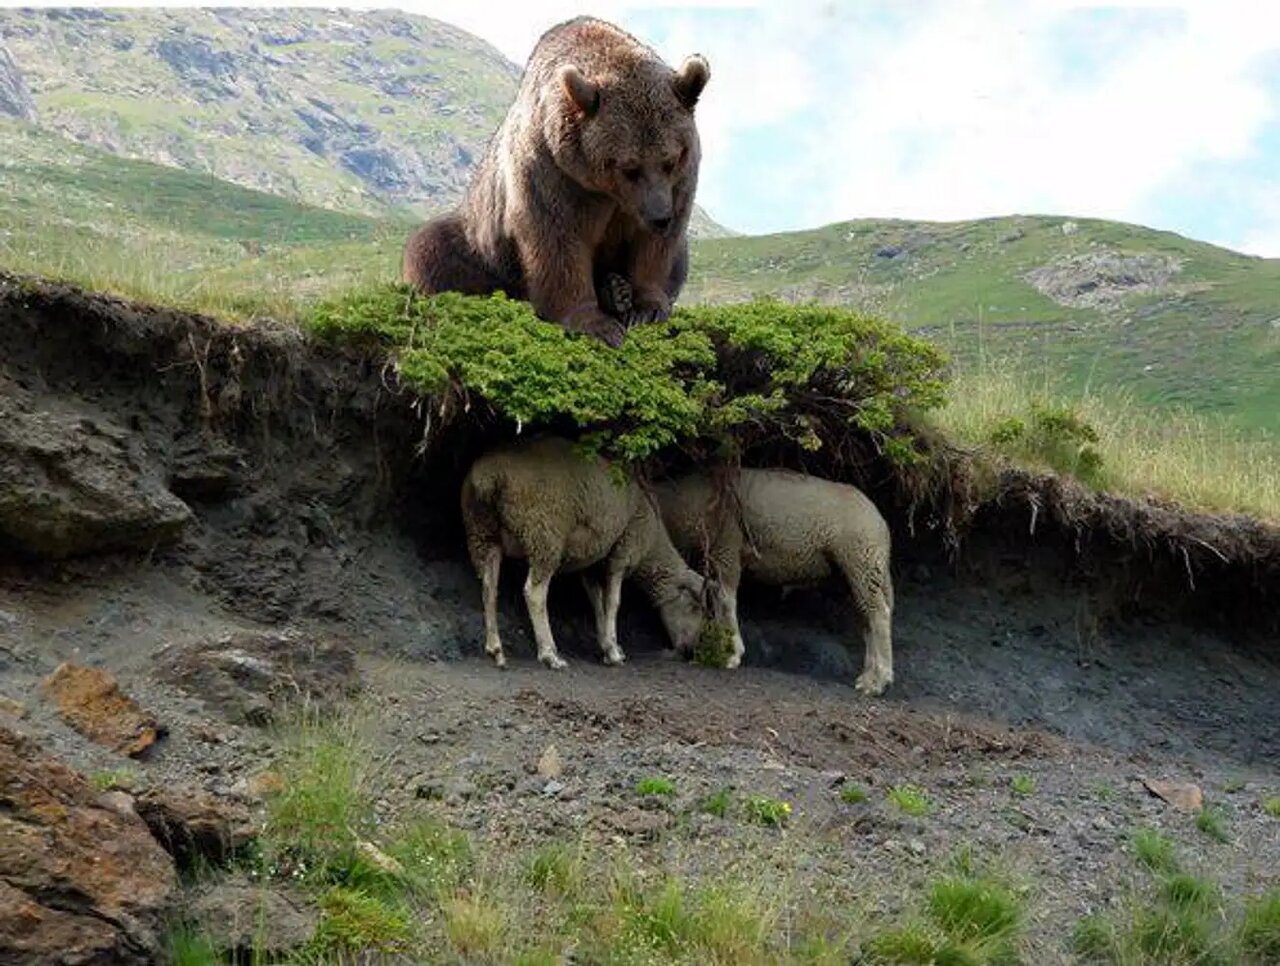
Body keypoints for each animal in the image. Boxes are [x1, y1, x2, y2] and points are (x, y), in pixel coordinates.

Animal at [401, 16, 711, 348]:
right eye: (629, 167)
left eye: (670, 160)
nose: (659, 217)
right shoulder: (553, 172)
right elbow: (557, 241)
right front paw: (597, 325)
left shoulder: (679, 181)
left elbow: (656, 248)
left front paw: (647, 308)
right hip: (482, 242)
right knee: (431, 248)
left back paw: (616, 291)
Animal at [460, 437, 721, 670]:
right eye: (695, 607)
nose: (690, 651)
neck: (651, 545)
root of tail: (490, 477)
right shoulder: (622, 551)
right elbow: (613, 601)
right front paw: (614, 652)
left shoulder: (592, 562)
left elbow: (598, 602)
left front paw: (607, 646)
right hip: (544, 534)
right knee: (534, 593)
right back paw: (550, 654)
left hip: (482, 534)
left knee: (489, 589)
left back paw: (496, 650)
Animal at [655, 468, 896, 696]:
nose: (681, 648)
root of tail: (882, 524)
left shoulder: (725, 547)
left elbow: (725, 600)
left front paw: (731, 654)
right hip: (851, 573)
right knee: (866, 618)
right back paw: (867, 676)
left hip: (861, 559)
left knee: (878, 615)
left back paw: (879, 681)